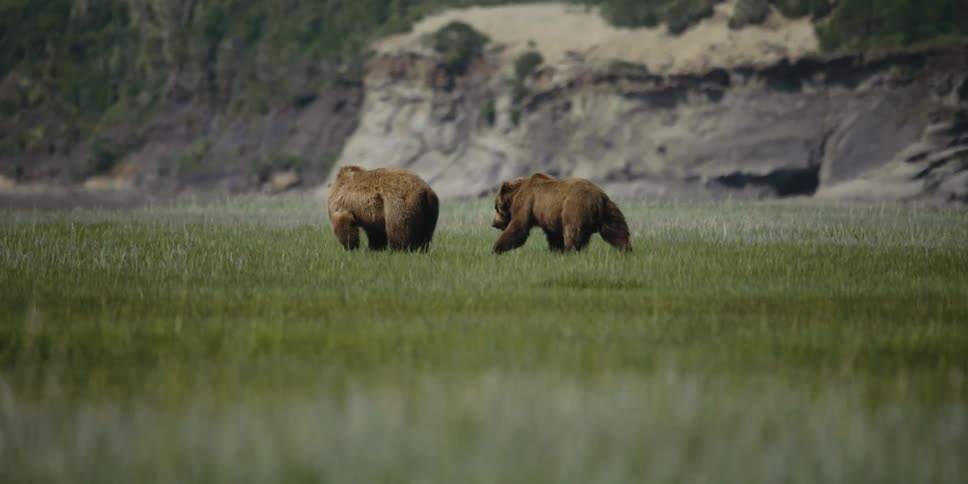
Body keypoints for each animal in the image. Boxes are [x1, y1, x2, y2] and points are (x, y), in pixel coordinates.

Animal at [491, 173, 631, 254]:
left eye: (496, 207)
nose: (494, 223)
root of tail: (598, 198)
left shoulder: (526, 202)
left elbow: (518, 227)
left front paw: (496, 248)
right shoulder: (549, 214)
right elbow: (554, 235)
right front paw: (556, 250)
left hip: (575, 207)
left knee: (573, 230)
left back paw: (572, 250)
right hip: (607, 209)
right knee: (616, 229)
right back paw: (627, 249)